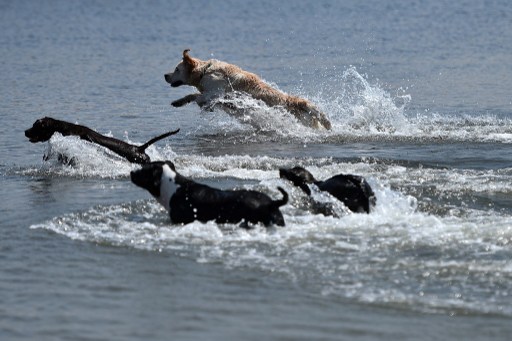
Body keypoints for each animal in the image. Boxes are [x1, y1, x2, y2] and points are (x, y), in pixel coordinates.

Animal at [164, 49, 332, 130]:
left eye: (177, 69)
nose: (165, 75)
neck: (204, 71)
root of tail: (302, 104)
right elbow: (194, 94)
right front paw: (179, 101)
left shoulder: (215, 93)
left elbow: (195, 95)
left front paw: (185, 101)